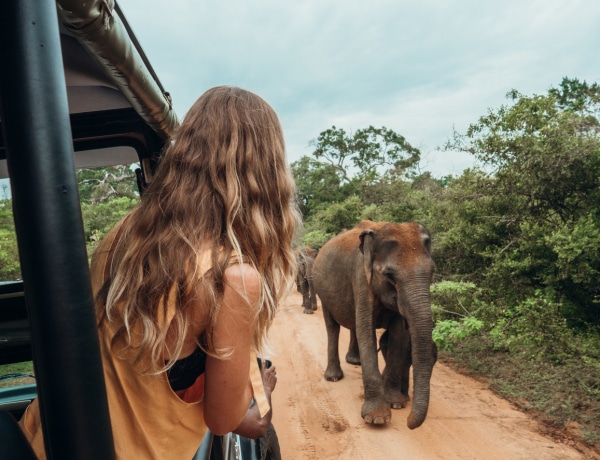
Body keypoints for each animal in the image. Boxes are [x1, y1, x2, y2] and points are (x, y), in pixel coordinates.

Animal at [314, 221, 436, 430]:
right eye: (389, 275)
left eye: (432, 272)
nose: (409, 424)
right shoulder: (361, 278)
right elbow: (366, 331)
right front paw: (377, 418)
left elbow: (398, 336)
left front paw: (396, 403)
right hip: (323, 293)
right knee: (332, 327)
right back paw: (333, 377)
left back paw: (355, 362)